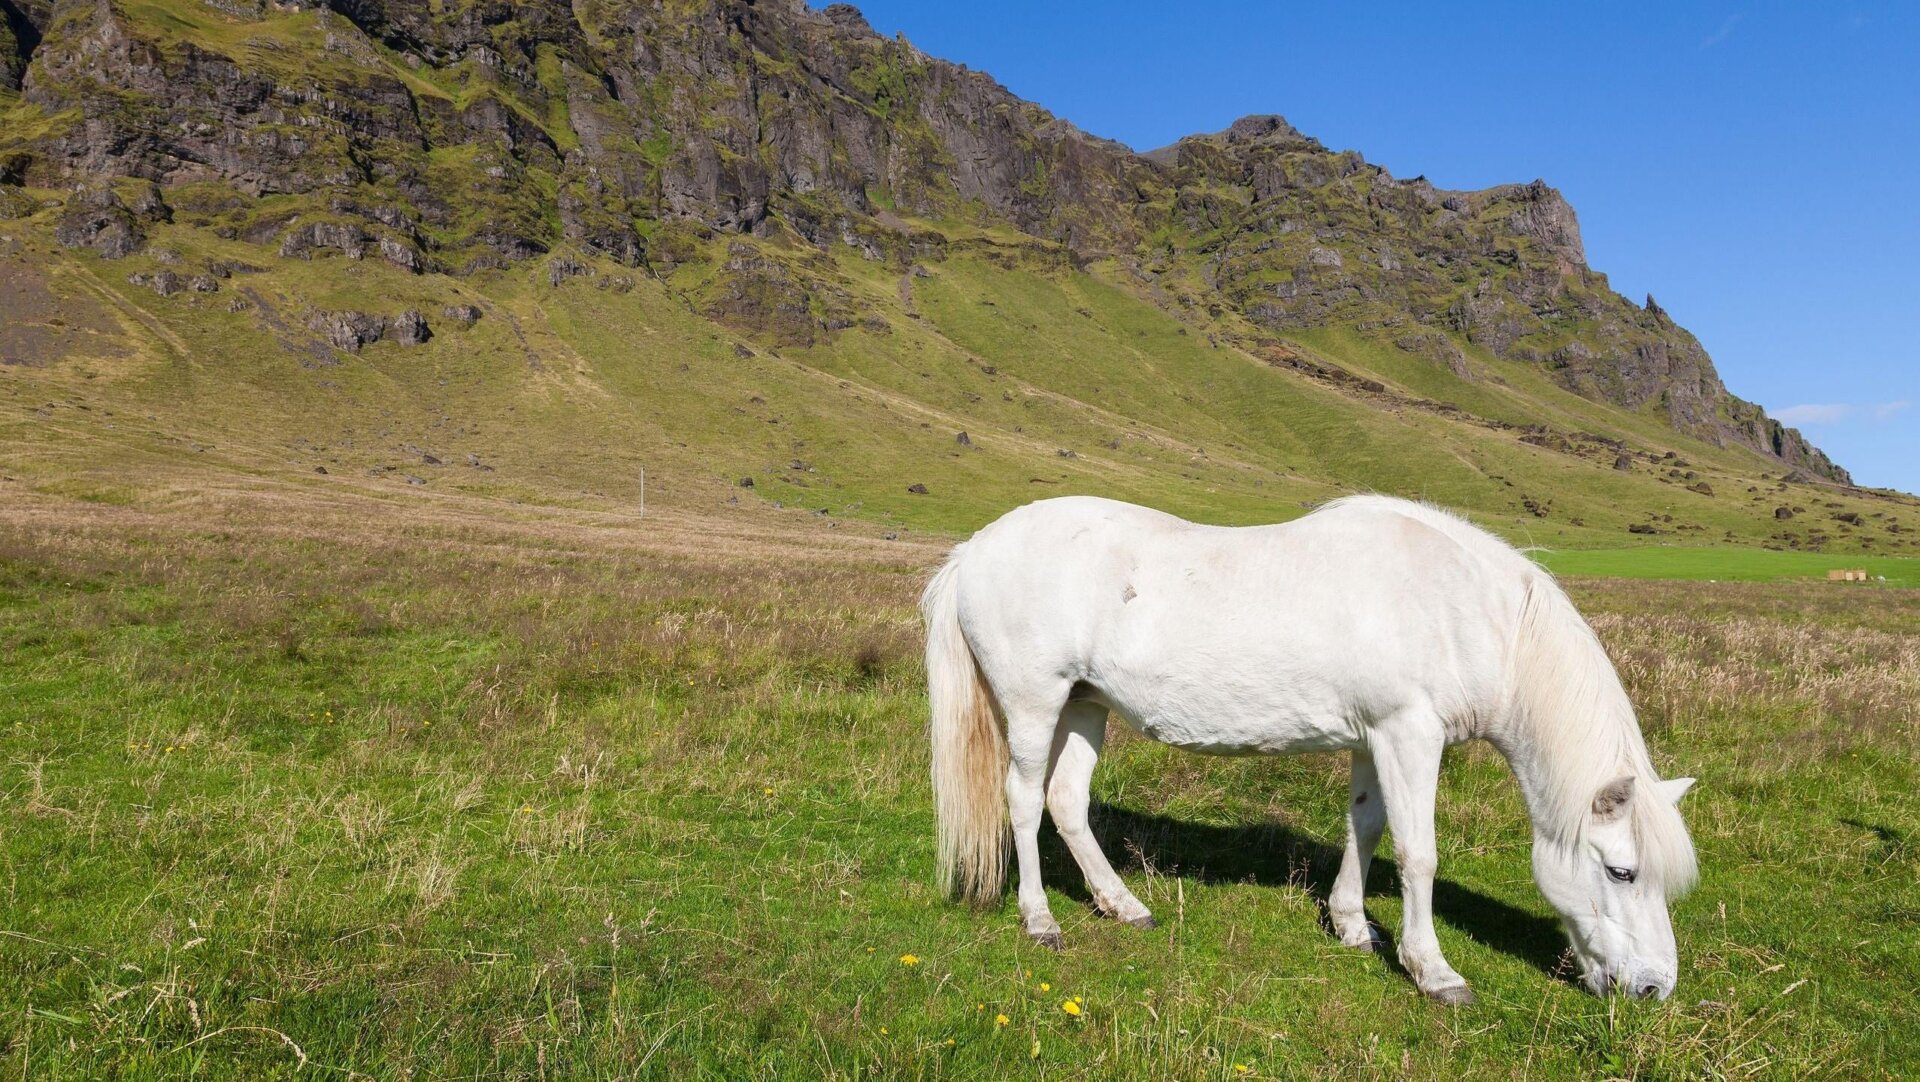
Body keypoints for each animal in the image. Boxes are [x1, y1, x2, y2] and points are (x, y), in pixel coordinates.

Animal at [922, 495, 1697, 1003]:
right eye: (1622, 871)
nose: (1655, 988)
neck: (1458, 607)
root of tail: (975, 549)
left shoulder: (1375, 739)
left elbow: (1367, 827)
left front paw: (1353, 925)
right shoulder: (1410, 735)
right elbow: (1419, 854)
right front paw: (1433, 970)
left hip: (1086, 704)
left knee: (1067, 802)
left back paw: (1123, 905)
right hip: (1035, 703)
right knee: (1025, 801)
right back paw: (1040, 920)